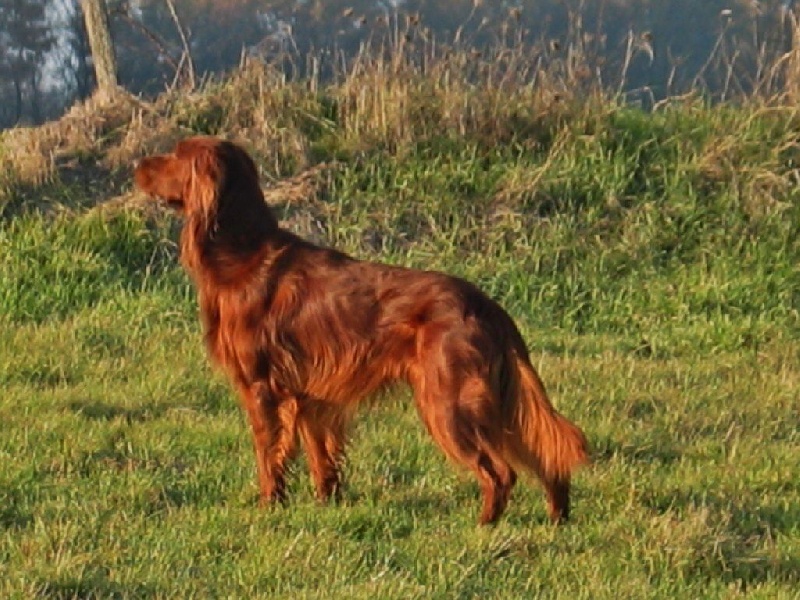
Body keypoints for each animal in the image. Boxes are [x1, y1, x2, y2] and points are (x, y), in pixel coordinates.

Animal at [134, 136, 588, 524]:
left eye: (175, 155)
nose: (137, 165)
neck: (242, 253)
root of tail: (486, 305)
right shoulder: (310, 396)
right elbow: (321, 459)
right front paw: (326, 504)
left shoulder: (261, 387)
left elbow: (269, 455)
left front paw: (269, 507)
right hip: (498, 400)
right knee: (548, 456)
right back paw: (556, 519)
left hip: (449, 402)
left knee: (500, 471)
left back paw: (483, 527)